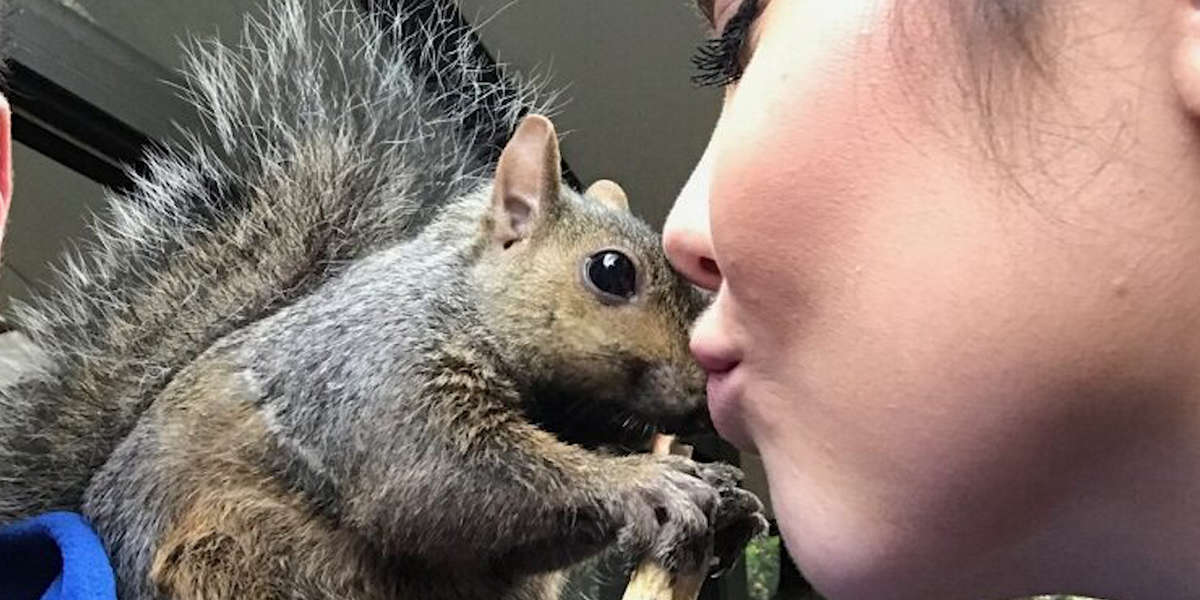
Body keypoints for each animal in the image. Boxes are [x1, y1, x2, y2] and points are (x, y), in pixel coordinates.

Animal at [0, 1, 767, 599]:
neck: (459, 302)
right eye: (610, 272)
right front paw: (647, 482)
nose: (701, 400)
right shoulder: (378, 376)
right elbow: (444, 480)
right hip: (228, 550)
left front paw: (726, 499)